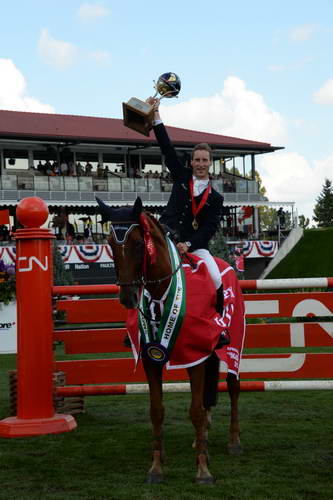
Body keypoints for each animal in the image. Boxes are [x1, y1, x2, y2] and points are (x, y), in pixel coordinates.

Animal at [96, 198, 241, 484]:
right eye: (109, 242)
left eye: (139, 243)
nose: (127, 298)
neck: (161, 293)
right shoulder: (151, 359)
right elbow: (157, 411)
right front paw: (156, 466)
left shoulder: (195, 357)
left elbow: (195, 410)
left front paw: (203, 471)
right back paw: (202, 440)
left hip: (233, 345)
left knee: (232, 387)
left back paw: (233, 441)